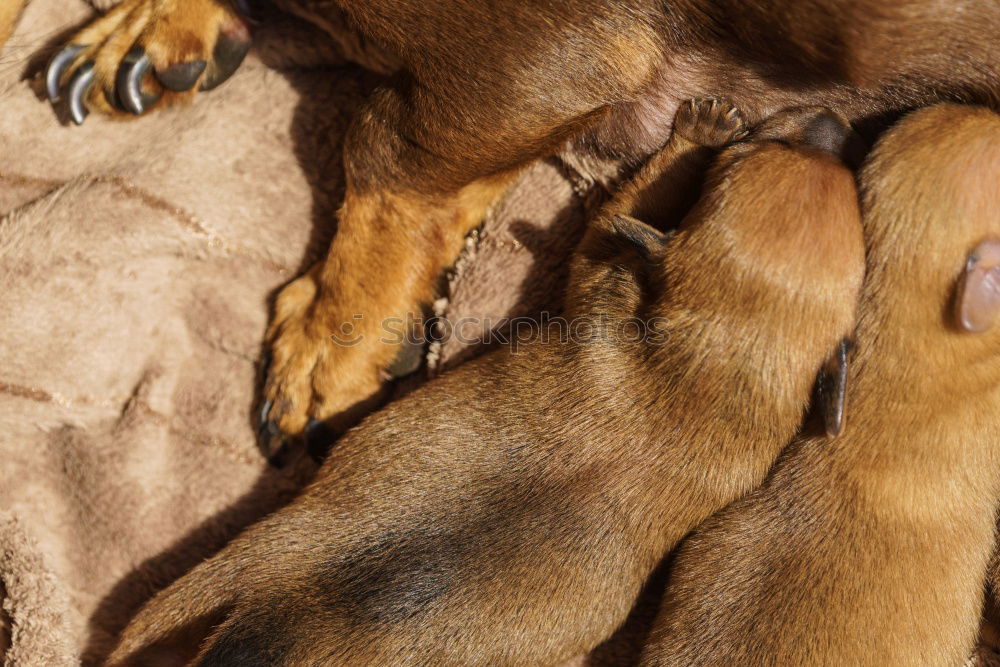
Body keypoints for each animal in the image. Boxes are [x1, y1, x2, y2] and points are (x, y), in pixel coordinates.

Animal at [103, 102, 868, 664]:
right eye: (753, 153)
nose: (838, 122)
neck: (722, 358)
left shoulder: (602, 272)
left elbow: (610, 214)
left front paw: (696, 130)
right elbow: (617, 211)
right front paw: (699, 130)